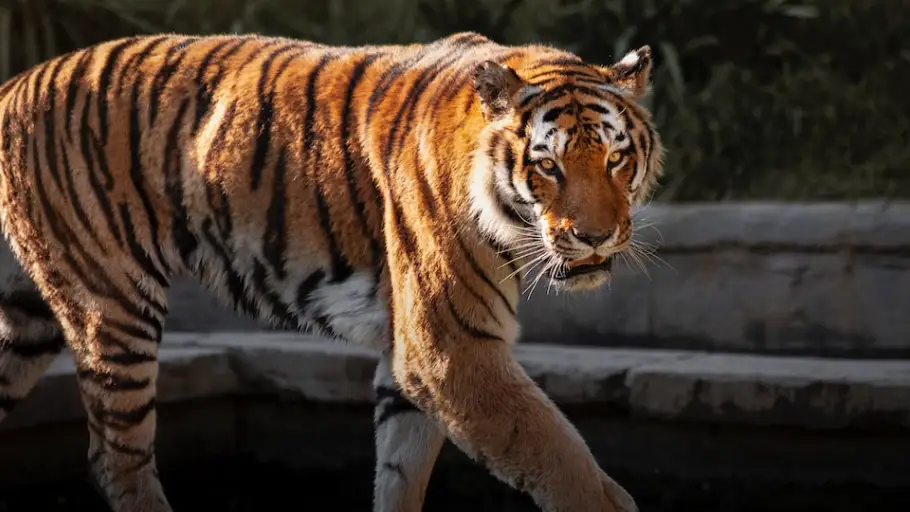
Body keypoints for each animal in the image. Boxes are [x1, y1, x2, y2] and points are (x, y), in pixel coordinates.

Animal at [0, 31, 663, 511]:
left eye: (616, 158)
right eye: (548, 166)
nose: (596, 236)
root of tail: (15, 83)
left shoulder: (411, 357)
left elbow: (401, 473)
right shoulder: (451, 350)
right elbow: (559, 456)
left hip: (28, 322)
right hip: (112, 306)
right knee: (118, 461)